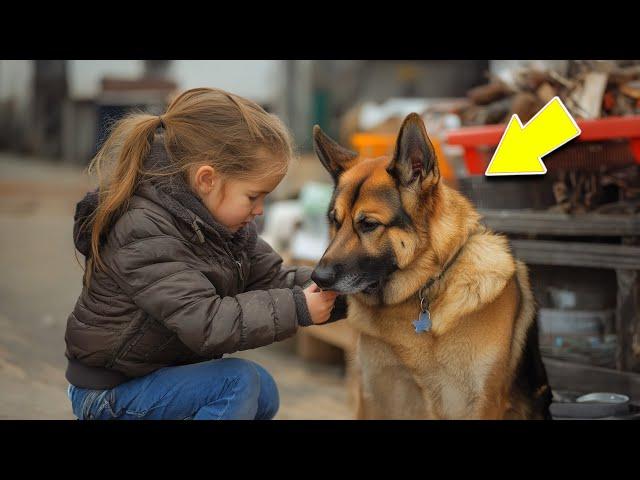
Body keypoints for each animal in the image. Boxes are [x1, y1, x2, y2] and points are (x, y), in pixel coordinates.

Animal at [308, 113, 552, 420]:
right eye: (335, 222)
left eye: (369, 224)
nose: (318, 278)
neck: (427, 289)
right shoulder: (376, 396)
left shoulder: (482, 403)